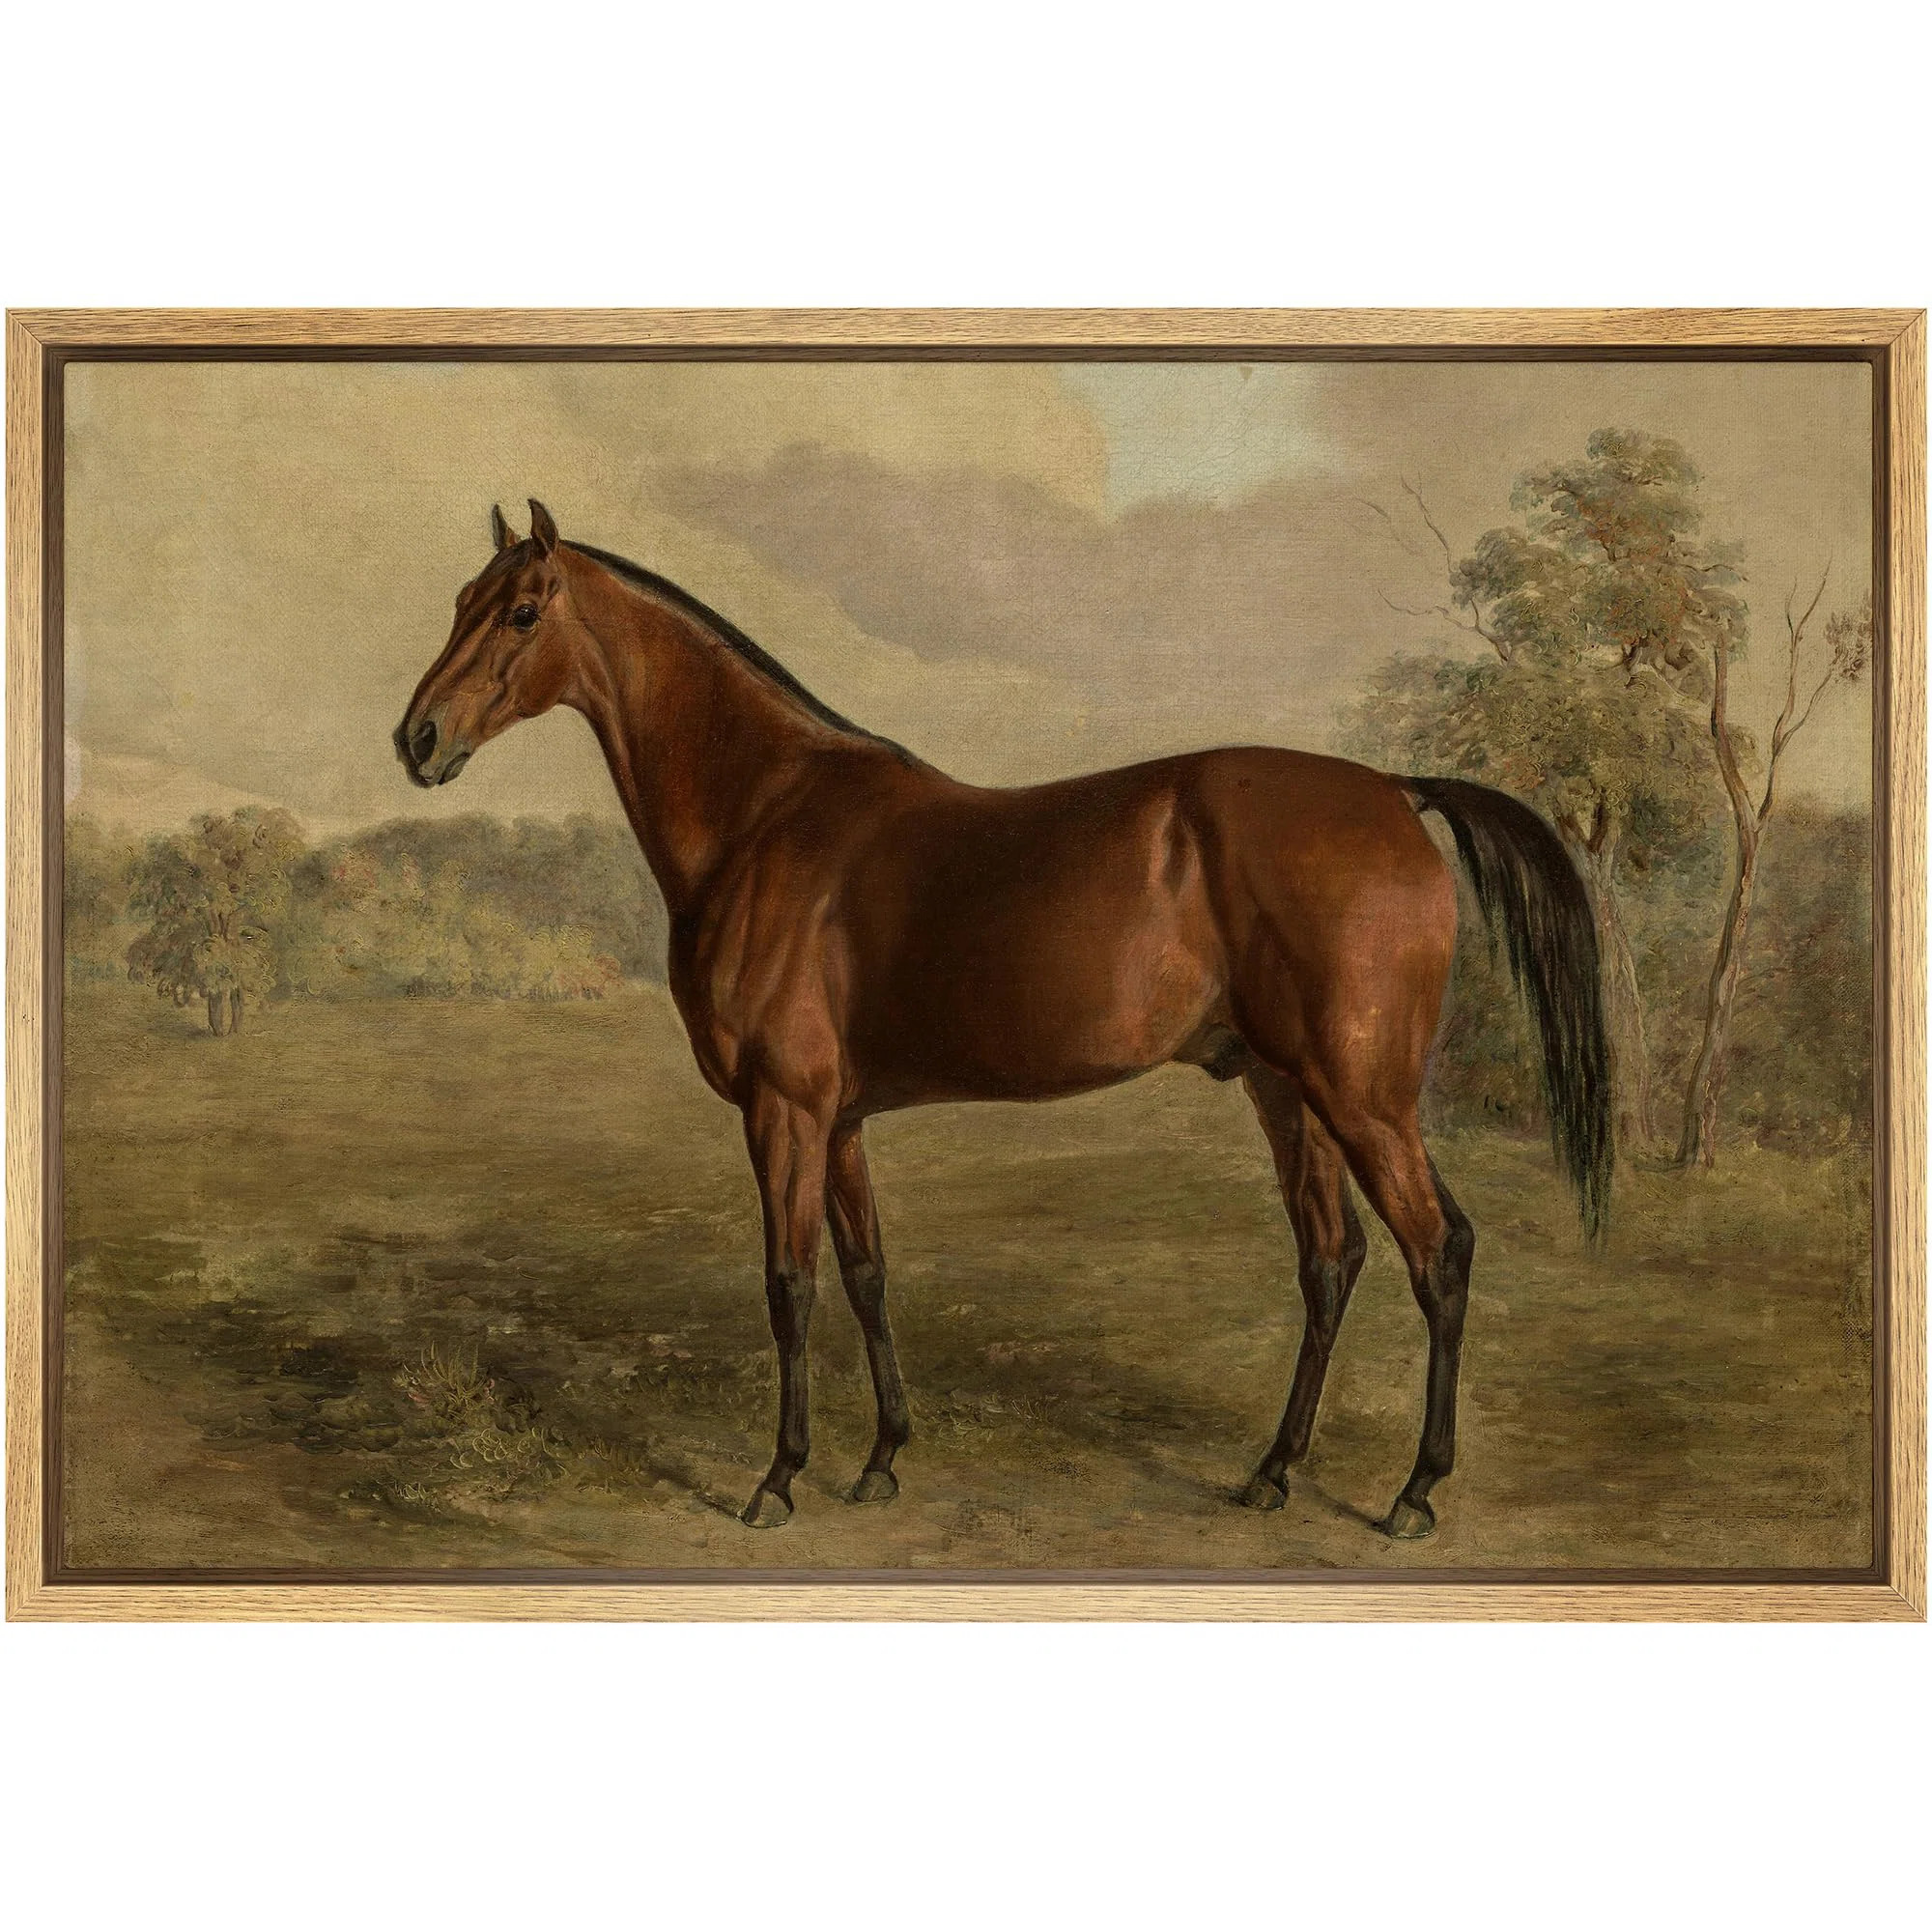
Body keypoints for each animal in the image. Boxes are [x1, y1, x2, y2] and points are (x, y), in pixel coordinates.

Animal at [396, 500, 1612, 1538]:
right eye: (456, 598)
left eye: (519, 611)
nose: (417, 739)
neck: (766, 815)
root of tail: (1393, 792)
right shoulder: (839, 1120)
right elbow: (865, 1272)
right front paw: (880, 1459)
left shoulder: (782, 1110)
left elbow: (788, 1284)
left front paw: (778, 1477)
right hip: (1290, 1089)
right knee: (1332, 1257)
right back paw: (1271, 1471)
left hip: (1362, 1095)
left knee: (1436, 1251)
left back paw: (1413, 1491)